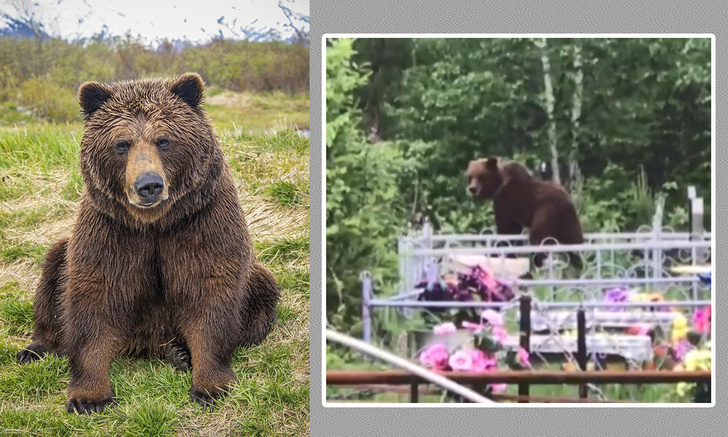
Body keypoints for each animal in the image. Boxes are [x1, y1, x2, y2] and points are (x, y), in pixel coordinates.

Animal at [14, 73, 282, 414]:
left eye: (163, 140)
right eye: (121, 144)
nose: (149, 185)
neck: (154, 222)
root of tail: (146, 343)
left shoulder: (201, 221)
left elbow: (210, 291)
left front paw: (211, 386)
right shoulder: (113, 231)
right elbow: (95, 295)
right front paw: (89, 397)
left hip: (254, 280)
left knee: (261, 293)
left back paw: (179, 352)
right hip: (67, 253)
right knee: (52, 271)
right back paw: (36, 348)